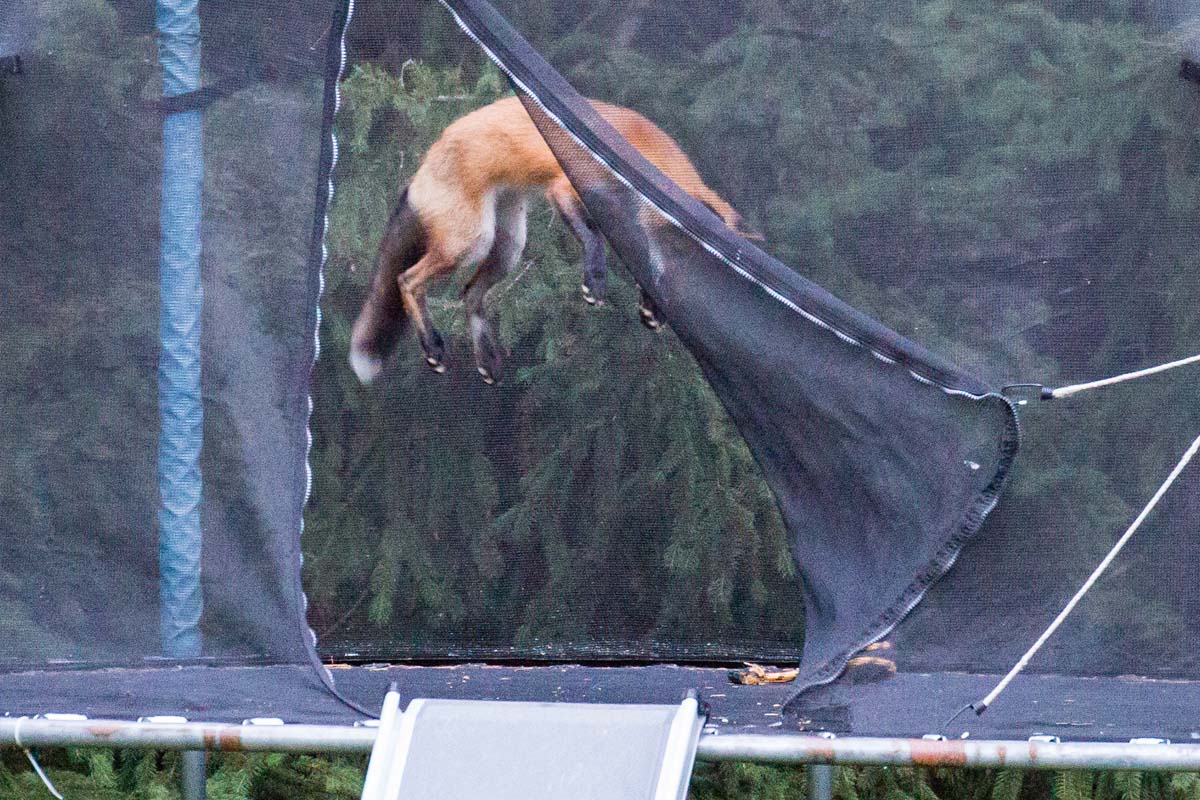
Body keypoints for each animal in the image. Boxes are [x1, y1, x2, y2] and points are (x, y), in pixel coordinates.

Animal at [348, 94, 755, 386]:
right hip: (472, 240)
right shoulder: (566, 188)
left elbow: (639, 260)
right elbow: (594, 239)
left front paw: (651, 305)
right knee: (406, 280)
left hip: (509, 245)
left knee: (469, 295)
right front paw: (595, 280)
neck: (643, 156)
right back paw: (432, 343)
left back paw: (485, 357)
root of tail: (420, 171)